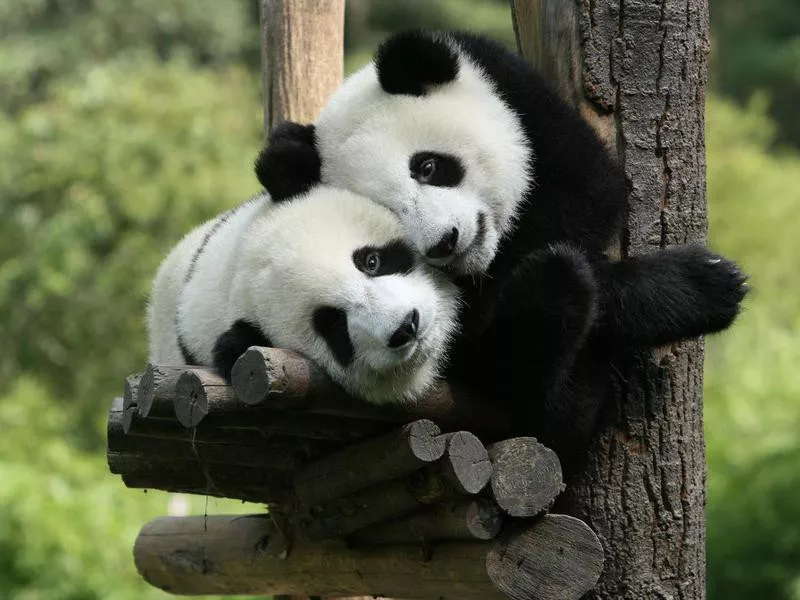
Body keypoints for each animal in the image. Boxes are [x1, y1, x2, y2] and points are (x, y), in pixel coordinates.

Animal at [256, 29, 752, 478]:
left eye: (428, 166)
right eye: (390, 214)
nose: (445, 242)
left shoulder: (522, 100)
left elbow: (592, 193)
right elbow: (484, 332)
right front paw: (703, 286)